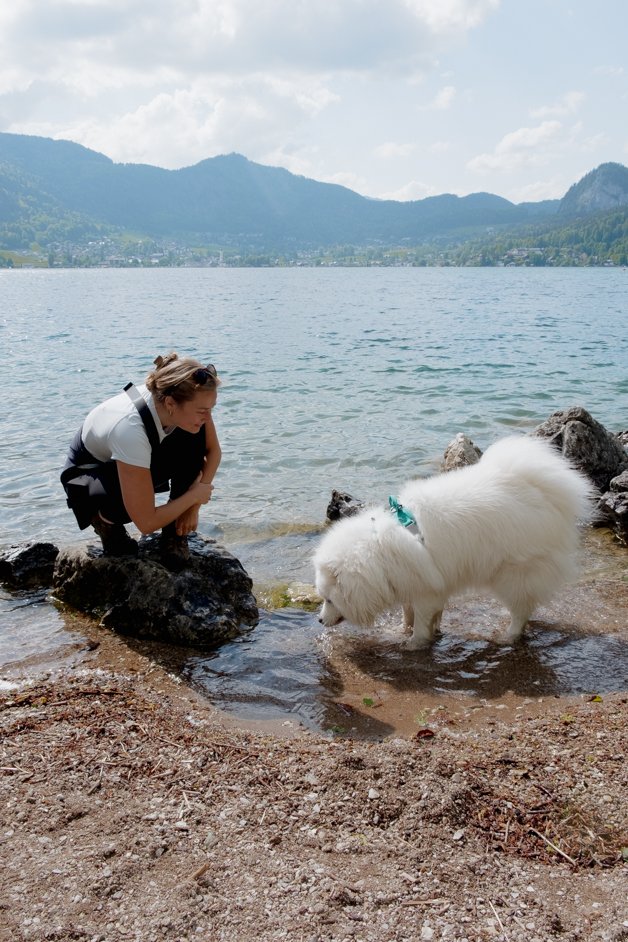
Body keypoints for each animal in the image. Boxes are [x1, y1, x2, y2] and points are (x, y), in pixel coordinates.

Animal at [314, 436, 592, 648]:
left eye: (329, 600)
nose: (319, 621)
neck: (379, 553)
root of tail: (542, 493)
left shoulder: (426, 591)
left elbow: (422, 621)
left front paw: (414, 644)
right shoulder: (416, 584)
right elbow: (410, 613)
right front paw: (406, 631)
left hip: (513, 572)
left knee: (520, 609)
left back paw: (508, 636)